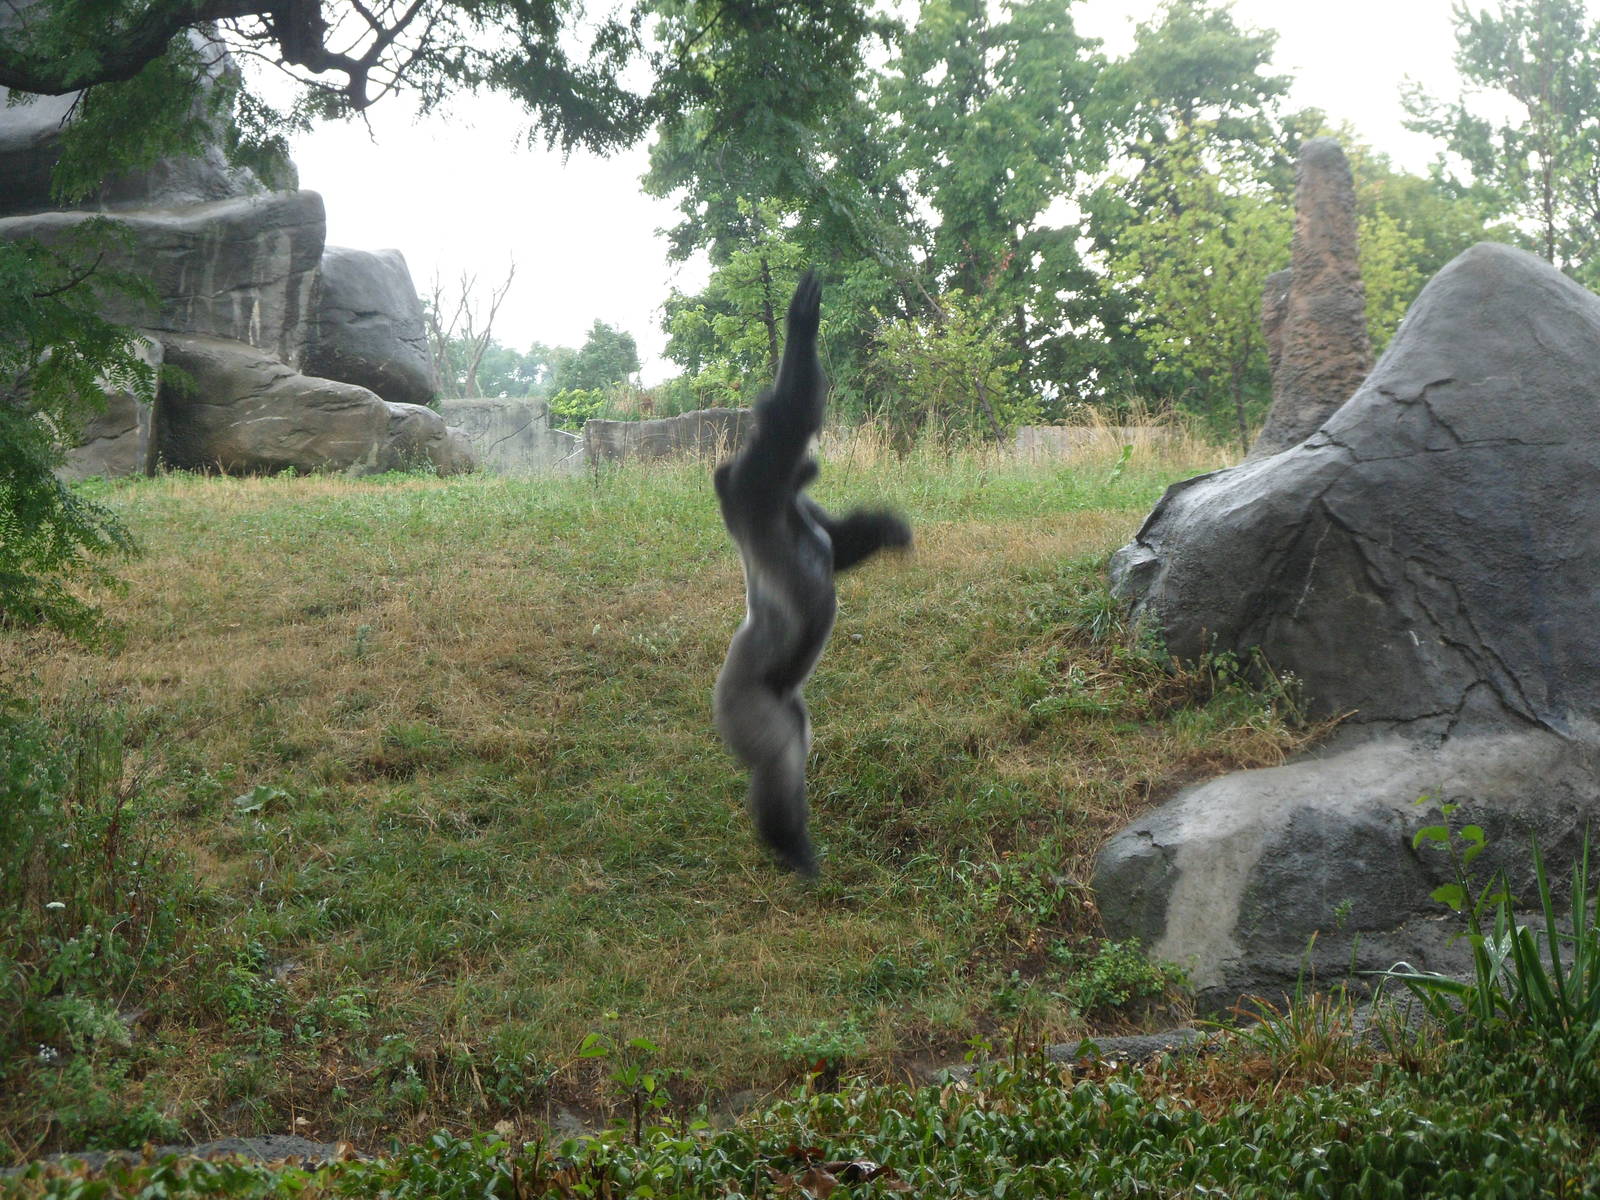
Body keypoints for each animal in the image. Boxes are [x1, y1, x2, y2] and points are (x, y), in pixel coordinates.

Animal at [712, 269, 912, 877]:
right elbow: (790, 412)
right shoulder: (760, 476)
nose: (814, 462)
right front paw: (803, 323)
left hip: (784, 698)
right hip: (742, 700)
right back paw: (786, 841)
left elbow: (840, 547)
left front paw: (884, 527)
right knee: (776, 753)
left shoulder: (785, 493)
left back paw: (788, 839)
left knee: (794, 740)